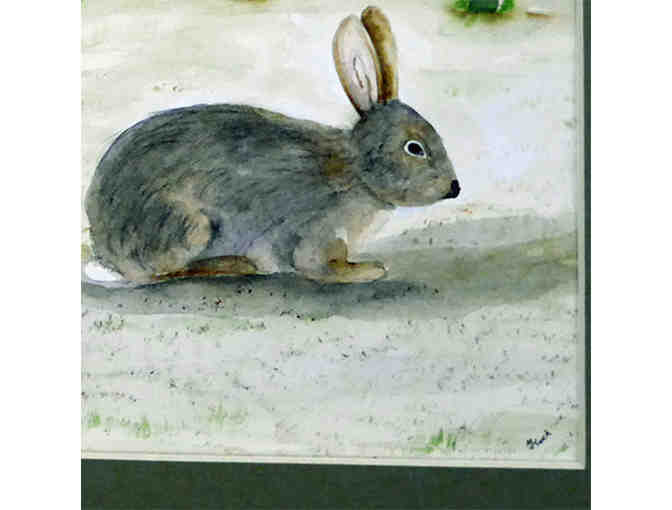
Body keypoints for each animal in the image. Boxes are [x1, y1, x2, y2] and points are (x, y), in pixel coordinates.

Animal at [84, 6, 460, 286]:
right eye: (415, 148)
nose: (454, 188)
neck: (358, 171)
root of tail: (105, 246)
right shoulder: (320, 230)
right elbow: (315, 265)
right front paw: (368, 270)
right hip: (189, 226)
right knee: (159, 273)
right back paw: (235, 265)